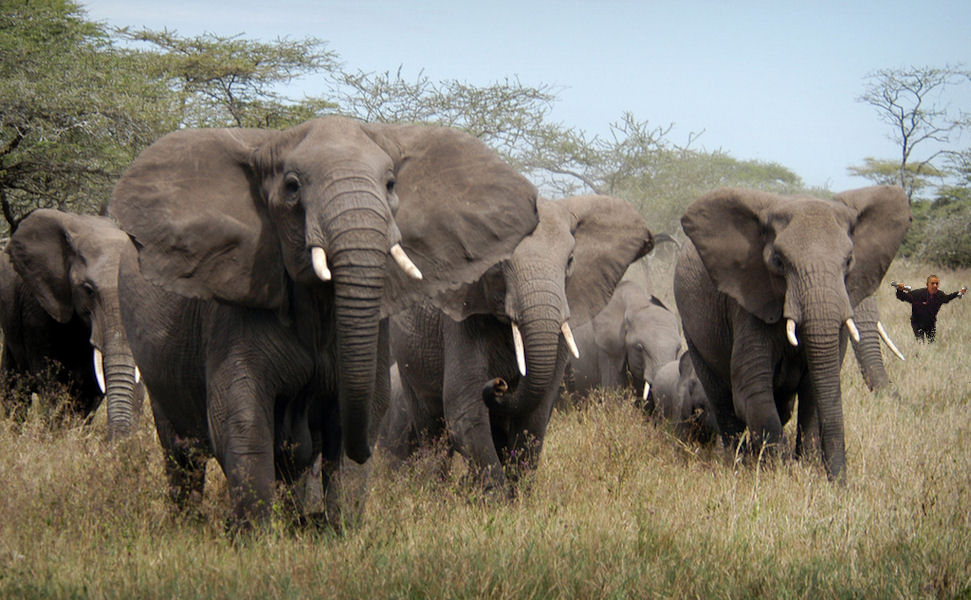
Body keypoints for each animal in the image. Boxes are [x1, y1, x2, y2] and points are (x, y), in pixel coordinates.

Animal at [0, 209, 144, 438]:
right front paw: (58, 437)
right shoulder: (37, 310)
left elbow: (92, 391)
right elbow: (51, 381)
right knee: (15, 388)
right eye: (89, 291)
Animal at [108, 116, 539, 524]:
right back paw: (192, 522)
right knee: (181, 453)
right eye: (292, 186)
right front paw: (254, 538)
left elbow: (364, 408)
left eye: (391, 184)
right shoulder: (231, 312)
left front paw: (336, 529)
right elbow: (239, 416)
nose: (499, 383)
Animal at [378, 194, 654, 495]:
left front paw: (518, 497)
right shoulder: (461, 314)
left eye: (570, 261)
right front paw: (496, 500)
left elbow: (535, 415)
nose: (500, 384)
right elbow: (465, 411)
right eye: (499, 263)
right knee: (431, 428)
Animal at [673, 185, 910, 481]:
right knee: (722, 399)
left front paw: (807, 466)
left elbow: (815, 389)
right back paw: (737, 461)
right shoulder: (747, 302)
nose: (839, 483)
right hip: (692, 329)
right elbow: (752, 390)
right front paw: (779, 473)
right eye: (778, 261)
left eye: (849, 261)